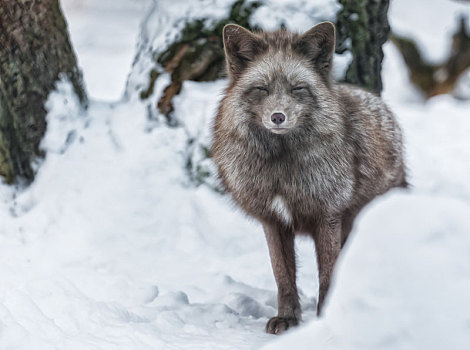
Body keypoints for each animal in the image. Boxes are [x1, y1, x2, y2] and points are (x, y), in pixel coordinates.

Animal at [211, 21, 406, 334]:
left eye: (298, 88)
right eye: (262, 88)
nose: (278, 117)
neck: (282, 171)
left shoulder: (327, 216)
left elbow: (327, 275)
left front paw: (325, 319)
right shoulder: (273, 221)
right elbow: (283, 276)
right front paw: (288, 319)